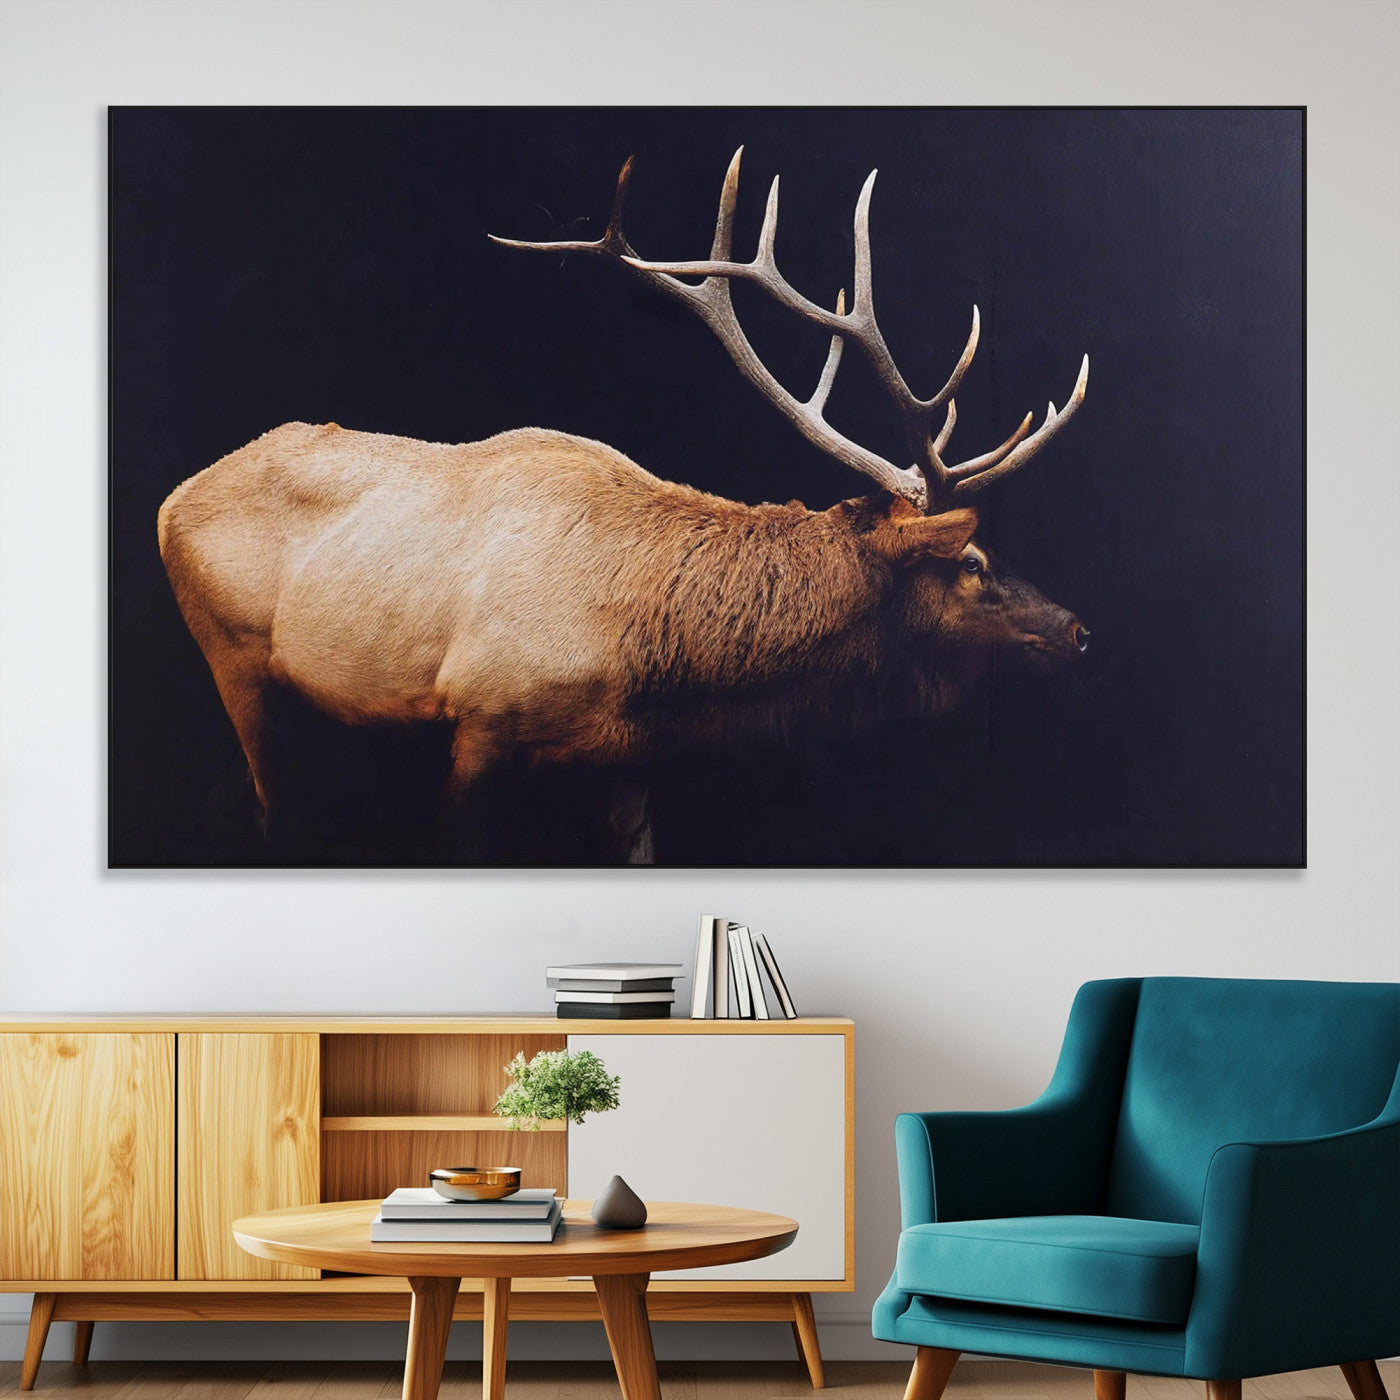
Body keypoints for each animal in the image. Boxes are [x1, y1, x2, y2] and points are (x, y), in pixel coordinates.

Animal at [157, 148, 1090, 864]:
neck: (649, 658)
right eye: (973, 562)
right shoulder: (479, 717)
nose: (1079, 630)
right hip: (232, 656)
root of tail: (171, 499)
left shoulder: (628, 763)